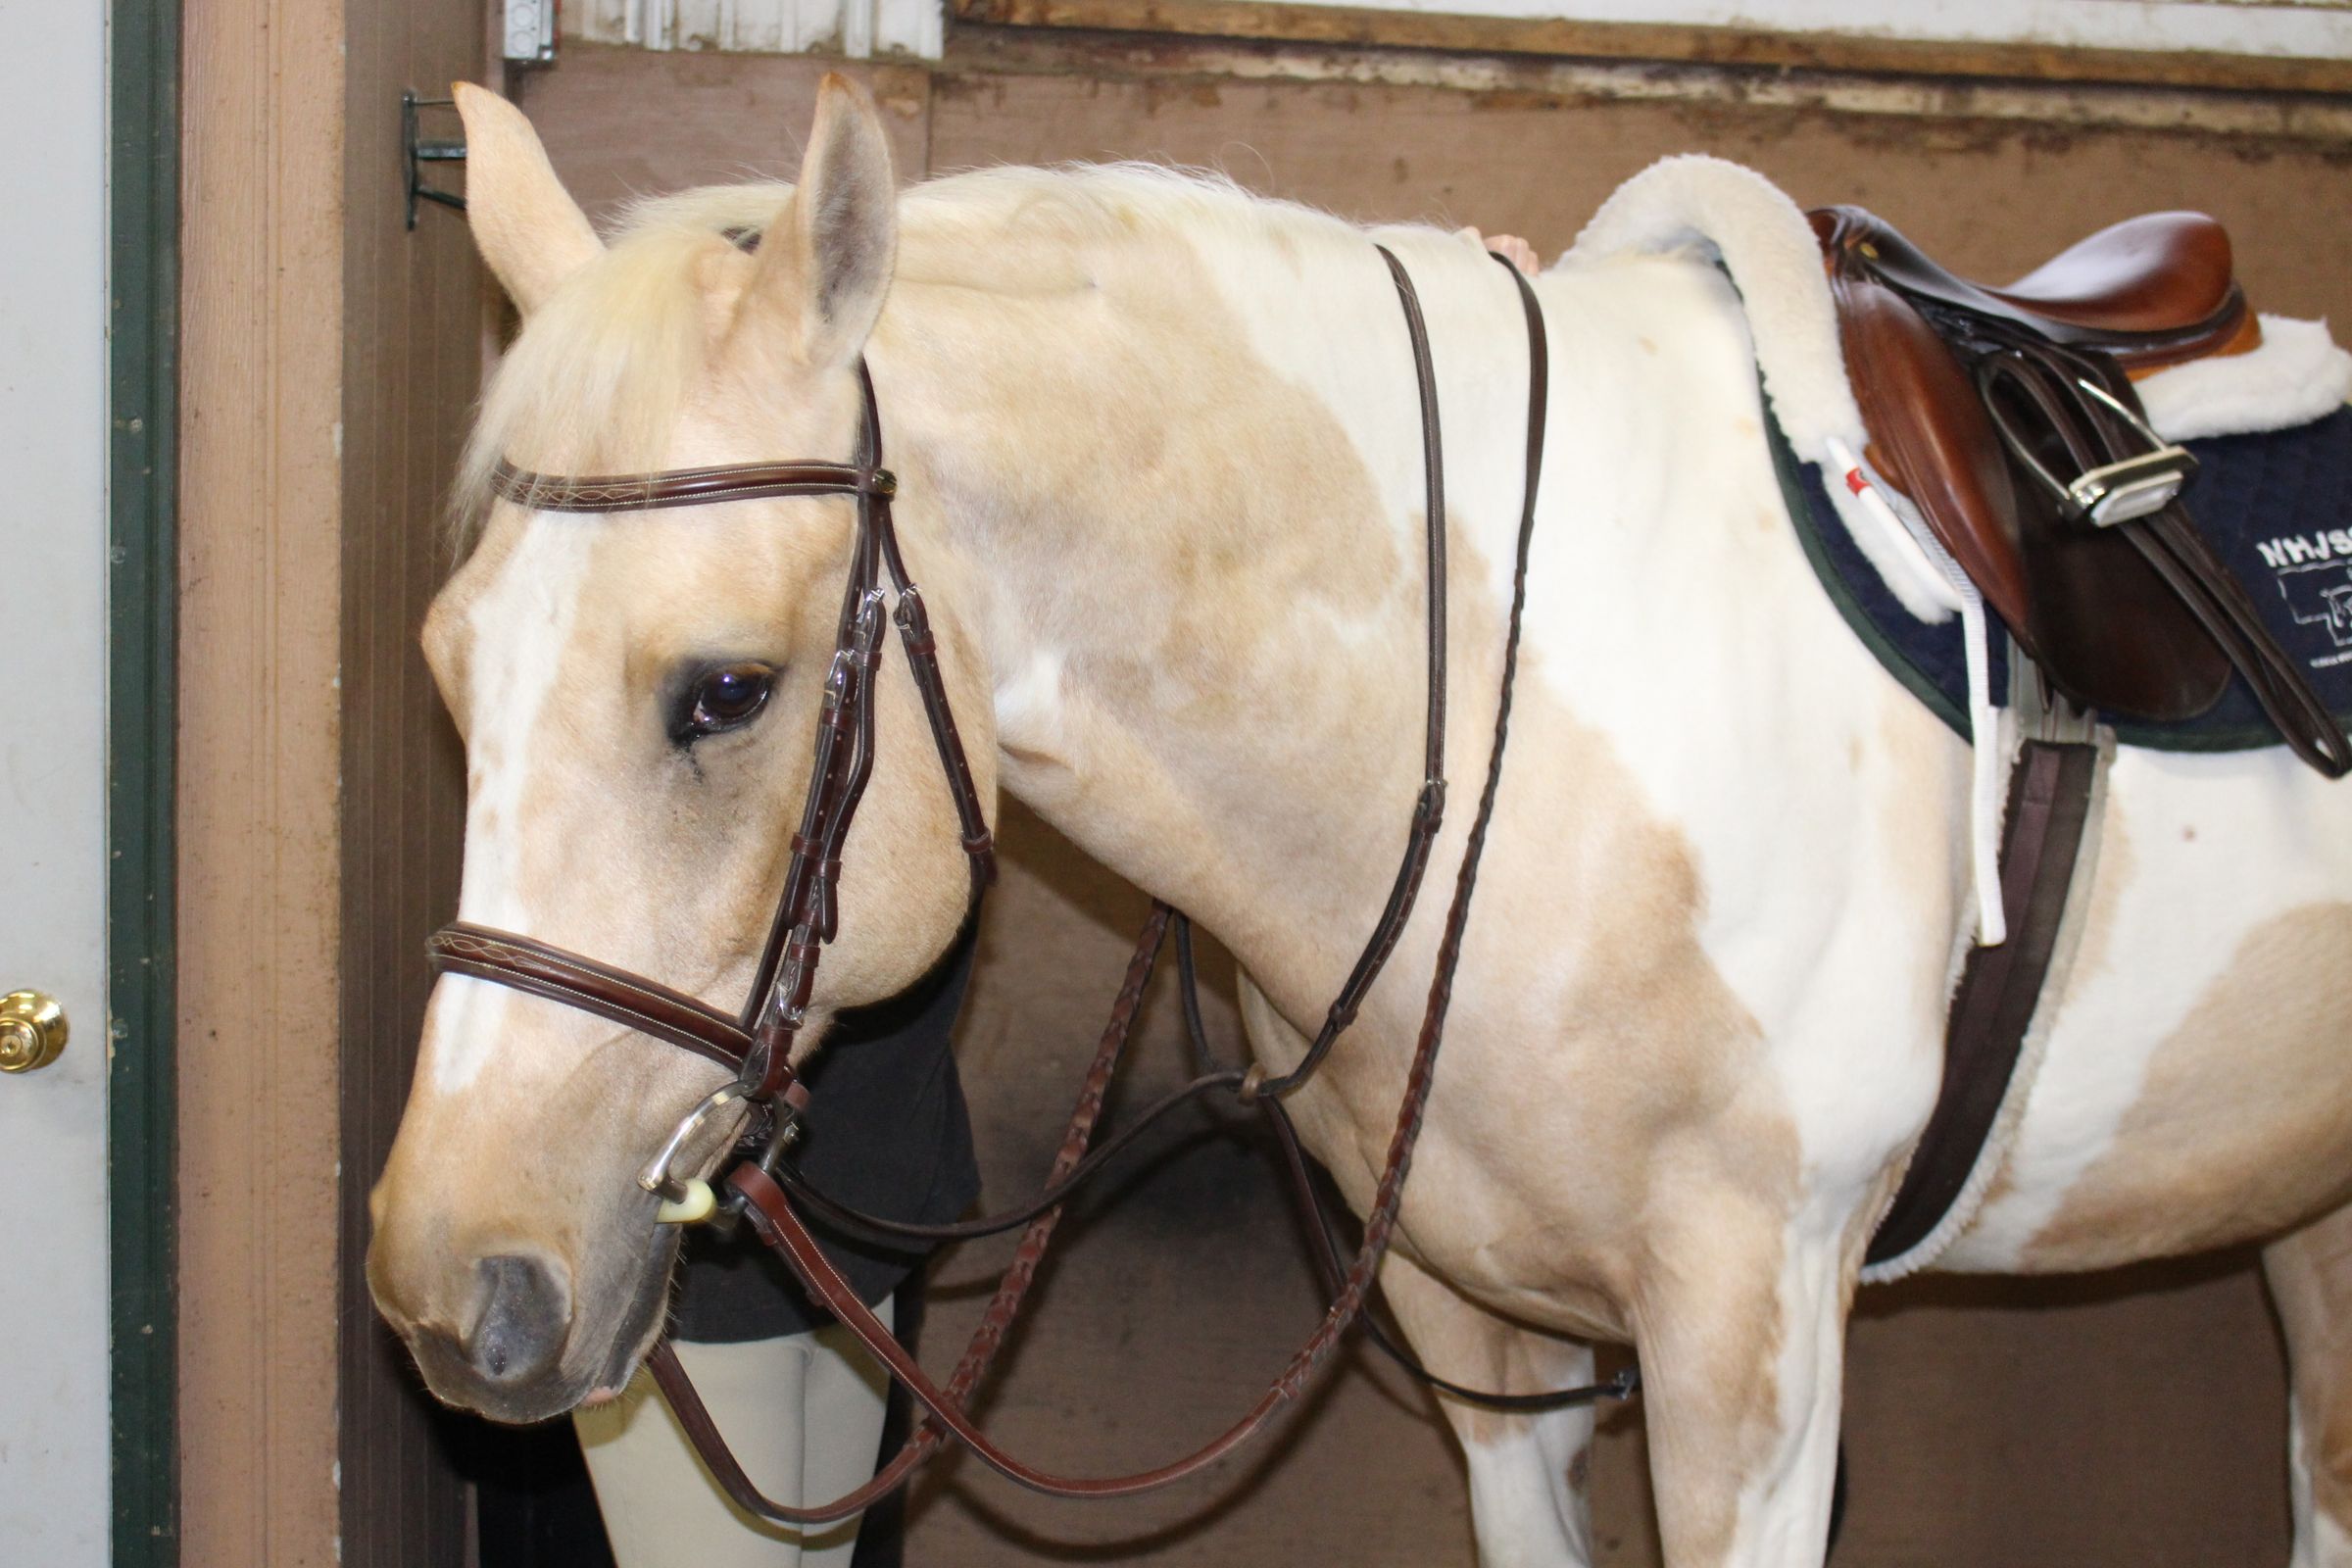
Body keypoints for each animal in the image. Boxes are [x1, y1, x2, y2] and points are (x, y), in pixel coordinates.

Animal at [365, 74, 2352, 1567]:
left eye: (724, 691)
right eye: (449, 665)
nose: (454, 1287)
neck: (1523, 706)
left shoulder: (1758, 1350)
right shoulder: (1488, 1350)